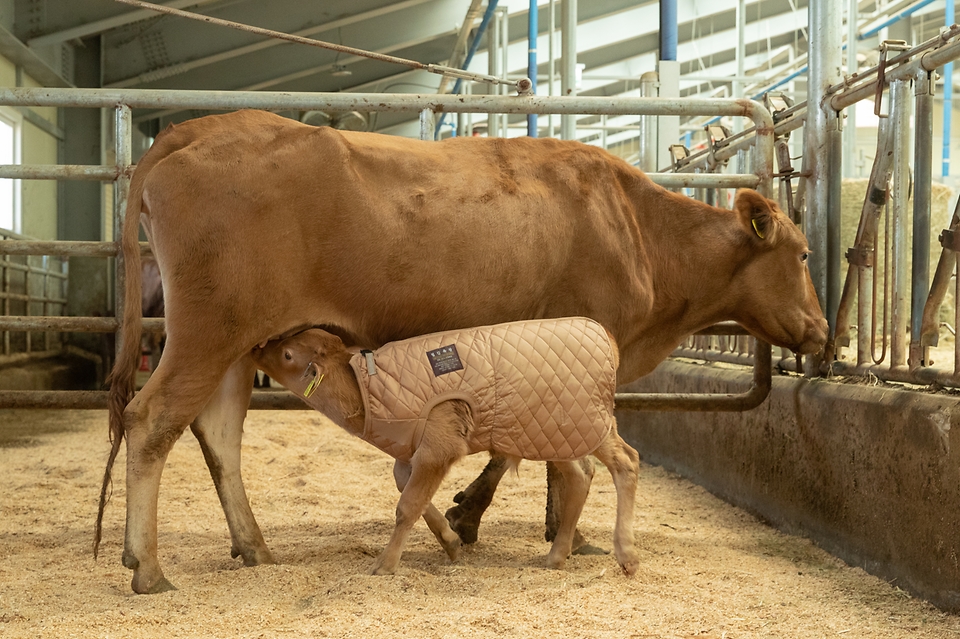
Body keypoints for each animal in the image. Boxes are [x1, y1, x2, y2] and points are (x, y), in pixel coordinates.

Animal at [253, 318, 644, 576]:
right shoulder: (411, 453)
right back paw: (556, 556)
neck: (367, 389)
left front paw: (385, 564)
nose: (258, 346)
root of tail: (605, 336)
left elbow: (407, 505)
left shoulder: (439, 444)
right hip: (559, 433)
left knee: (625, 461)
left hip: (584, 424)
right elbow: (410, 494)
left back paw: (626, 554)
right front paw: (450, 541)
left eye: (287, 354)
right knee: (581, 475)